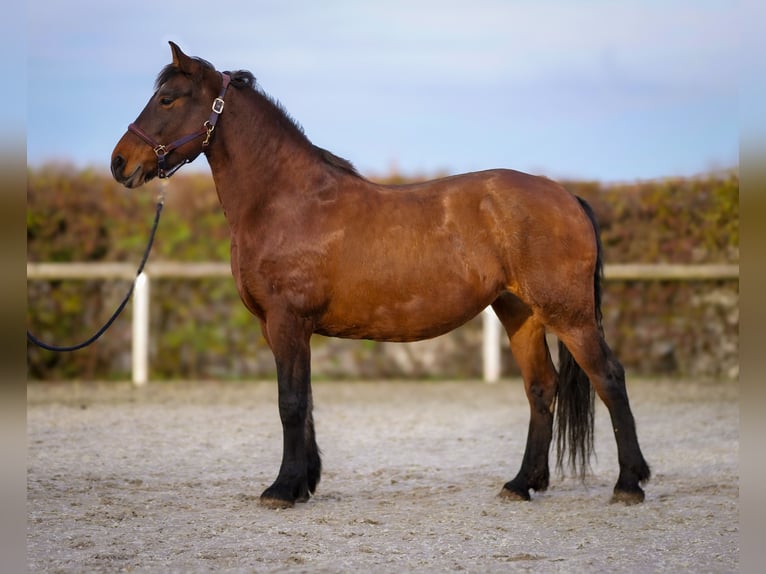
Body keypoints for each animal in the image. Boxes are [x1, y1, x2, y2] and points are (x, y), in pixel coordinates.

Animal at [112, 46, 656, 512]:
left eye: (167, 98)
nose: (120, 163)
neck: (285, 200)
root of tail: (567, 197)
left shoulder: (288, 322)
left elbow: (290, 403)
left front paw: (283, 489)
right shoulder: (282, 329)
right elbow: (305, 402)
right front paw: (304, 483)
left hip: (569, 314)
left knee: (609, 378)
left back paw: (629, 483)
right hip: (519, 312)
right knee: (541, 388)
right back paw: (522, 484)